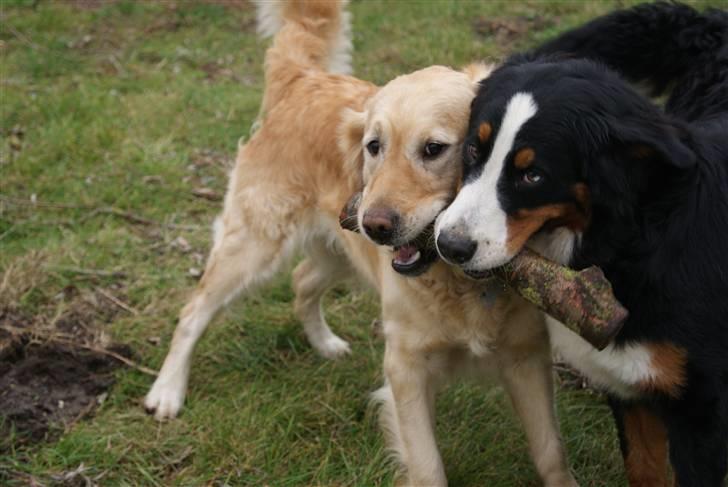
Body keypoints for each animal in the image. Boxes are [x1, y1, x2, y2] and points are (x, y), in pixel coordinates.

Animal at [145, 1, 576, 486]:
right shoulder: (405, 370)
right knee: (194, 310)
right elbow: (427, 467)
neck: (458, 283)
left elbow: (551, 452)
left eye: (433, 148)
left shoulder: (527, 358)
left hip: (338, 251)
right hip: (257, 245)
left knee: (301, 281)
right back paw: (166, 391)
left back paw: (324, 343)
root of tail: (304, 78)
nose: (376, 226)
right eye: (374, 146)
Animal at [438, 3, 728, 487]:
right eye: (473, 151)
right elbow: (644, 469)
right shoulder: (629, 386)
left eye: (532, 175)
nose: (449, 244)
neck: (629, 245)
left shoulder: (700, 413)